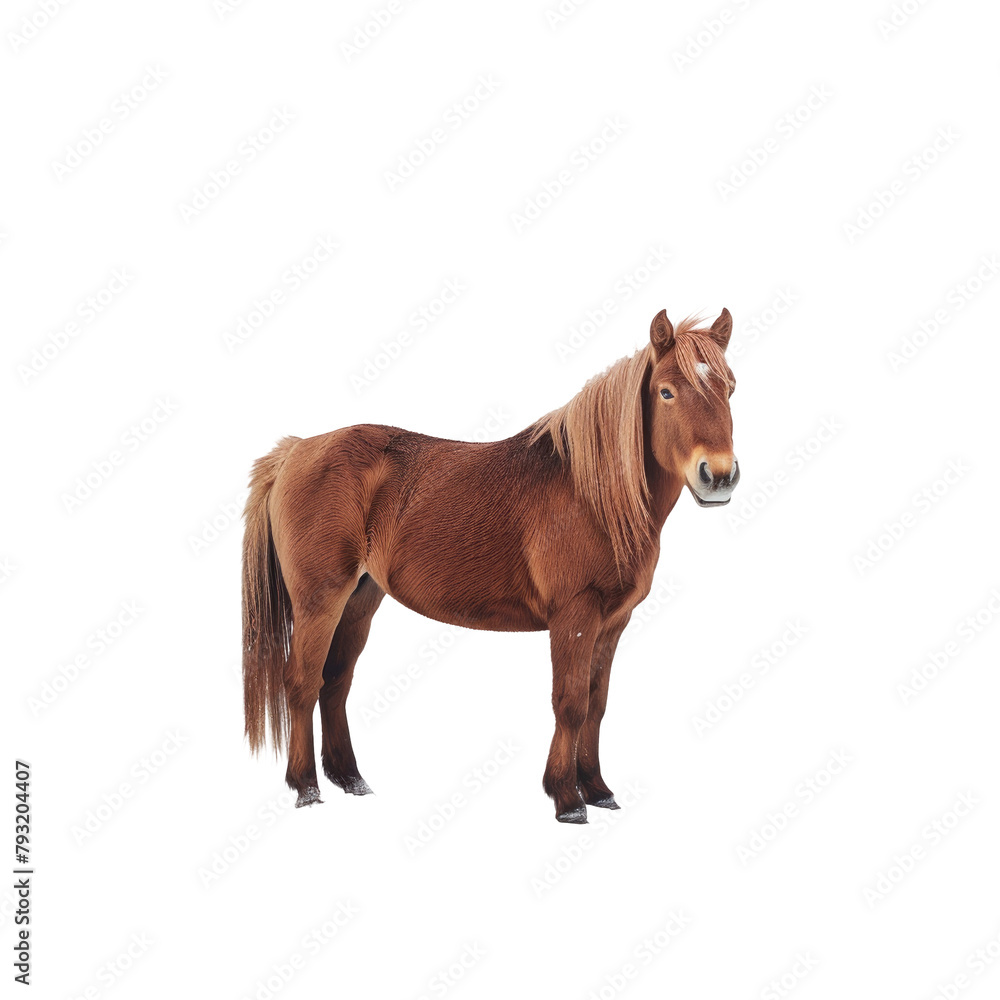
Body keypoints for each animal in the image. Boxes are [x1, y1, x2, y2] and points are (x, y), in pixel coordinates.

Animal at [242, 308, 739, 822]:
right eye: (666, 392)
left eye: (731, 388)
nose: (719, 476)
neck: (591, 493)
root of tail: (297, 450)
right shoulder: (574, 616)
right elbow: (570, 704)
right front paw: (567, 799)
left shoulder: (613, 622)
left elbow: (596, 705)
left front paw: (598, 789)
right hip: (319, 601)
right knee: (302, 683)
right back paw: (305, 786)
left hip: (360, 599)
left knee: (335, 683)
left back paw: (350, 778)